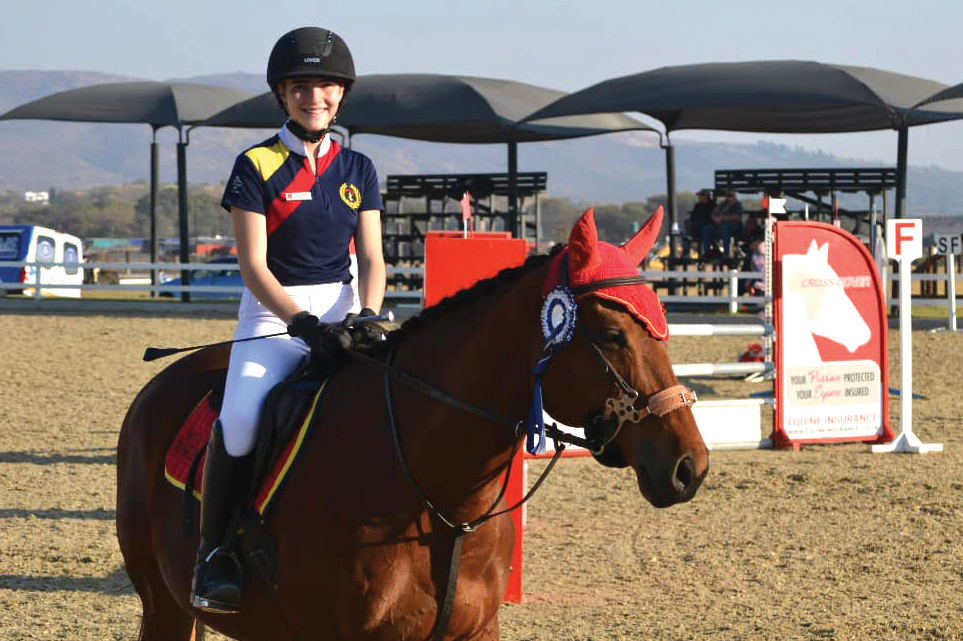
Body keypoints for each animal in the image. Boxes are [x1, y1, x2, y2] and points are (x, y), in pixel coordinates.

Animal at [116, 208, 709, 641]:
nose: (690, 467)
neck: (440, 499)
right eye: (611, 335)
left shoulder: (475, 632)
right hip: (165, 605)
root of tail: (158, 386)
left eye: (663, 324)